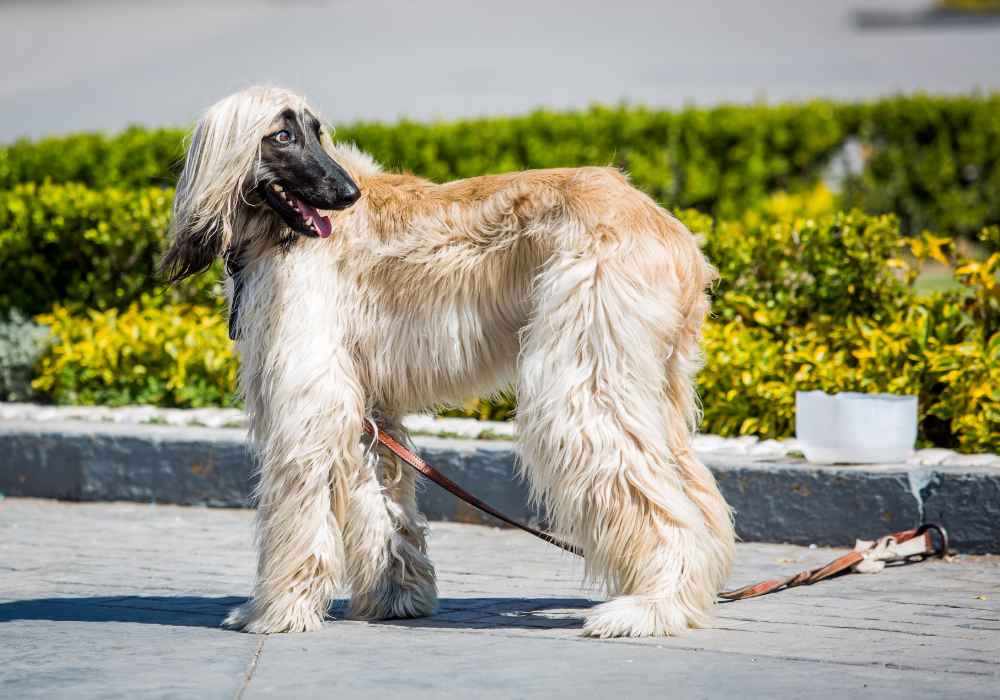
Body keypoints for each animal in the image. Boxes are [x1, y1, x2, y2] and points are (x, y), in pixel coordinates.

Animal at [164, 85, 736, 636]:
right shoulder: (369, 399)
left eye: (316, 132)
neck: (272, 232)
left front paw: (275, 608)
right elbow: (383, 499)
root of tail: (675, 234)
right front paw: (396, 597)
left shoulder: (313, 394)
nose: (348, 195)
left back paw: (651, 608)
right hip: (651, 376)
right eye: (281, 136)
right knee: (693, 489)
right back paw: (689, 596)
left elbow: (305, 503)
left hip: (584, 370)